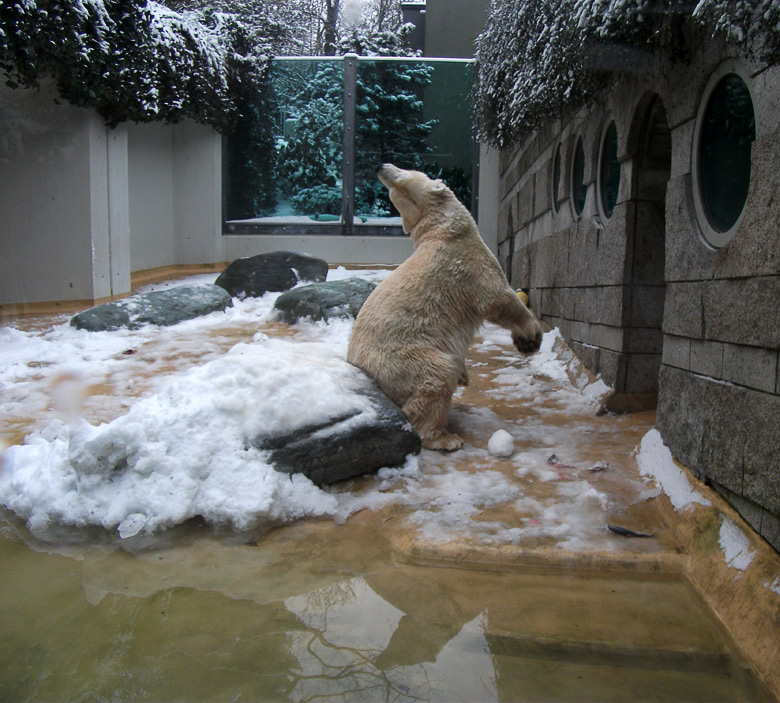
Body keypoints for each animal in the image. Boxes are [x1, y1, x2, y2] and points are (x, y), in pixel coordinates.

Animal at [348, 165, 544, 452]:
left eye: (398, 176)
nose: (381, 167)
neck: (443, 229)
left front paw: (464, 373)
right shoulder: (467, 262)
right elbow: (497, 299)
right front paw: (530, 338)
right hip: (401, 360)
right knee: (434, 377)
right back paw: (444, 438)